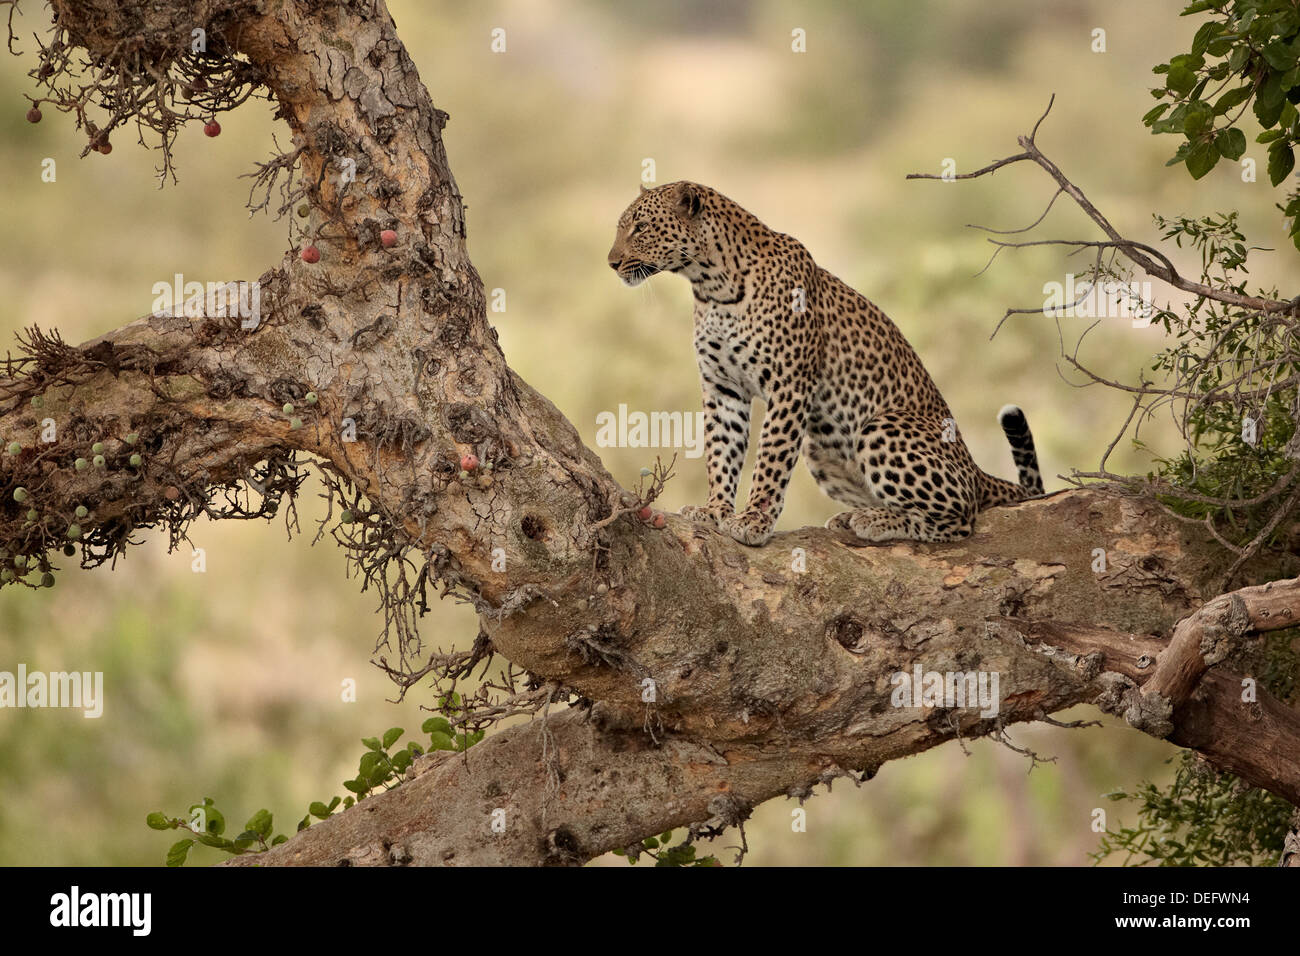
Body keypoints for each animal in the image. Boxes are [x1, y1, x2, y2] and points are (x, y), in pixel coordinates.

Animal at [608, 183, 1045, 548]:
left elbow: (770, 458)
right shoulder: (723, 387)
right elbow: (721, 452)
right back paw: (857, 515)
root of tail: (975, 469)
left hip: (881, 427)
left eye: (640, 227)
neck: (712, 286)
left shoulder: (789, 384)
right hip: (822, 450)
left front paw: (752, 522)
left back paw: (879, 521)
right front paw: (714, 509)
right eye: (622, 227)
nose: (611, 263)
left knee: (960, 520)